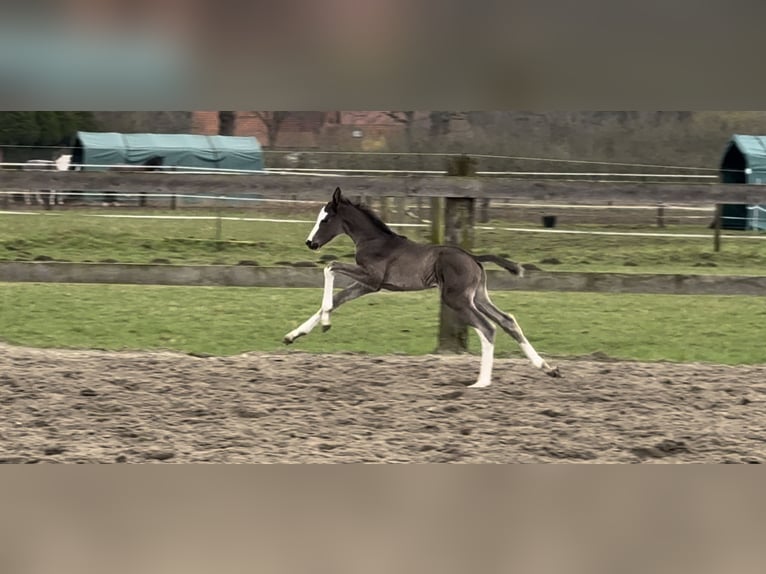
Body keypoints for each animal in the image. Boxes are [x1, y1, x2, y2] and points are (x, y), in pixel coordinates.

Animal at [282, 187, 560, 390]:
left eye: (326, 219)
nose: (310, 243)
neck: (374, 240)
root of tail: (473, 257)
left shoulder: (372, 278)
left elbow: (329, 268)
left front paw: (325, 322)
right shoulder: (367, 286)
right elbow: (337, 299)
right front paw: (294, 335)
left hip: (457, 299)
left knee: (487, 327)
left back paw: (481, 382)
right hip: (477, 296)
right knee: (507, 320)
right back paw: (547, 368)